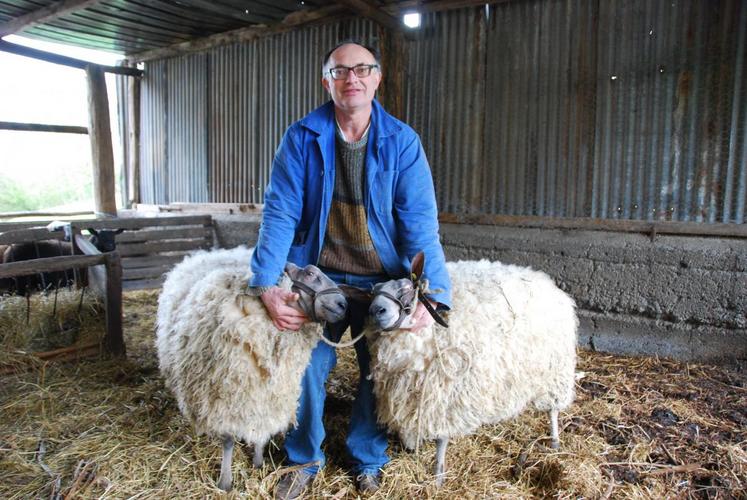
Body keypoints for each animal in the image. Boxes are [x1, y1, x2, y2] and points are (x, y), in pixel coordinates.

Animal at [156, 248, 350, 490]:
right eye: (310, 274)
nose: (343, 304)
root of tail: (203, 254)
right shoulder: (227, 397)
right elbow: (228, 440)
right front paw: (225, 482)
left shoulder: (268, 394)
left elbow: (261, 429)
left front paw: (258, 461)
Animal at [366, 254, 580, 484]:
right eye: (374, 291)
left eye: (407, 289)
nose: (376, 310)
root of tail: (548, 282)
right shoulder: (408, 395)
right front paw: (413, 446)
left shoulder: (447, 399)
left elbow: (441, 440)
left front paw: (438, 475)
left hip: (556, 373)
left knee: (553, 410)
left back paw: (555, 440)